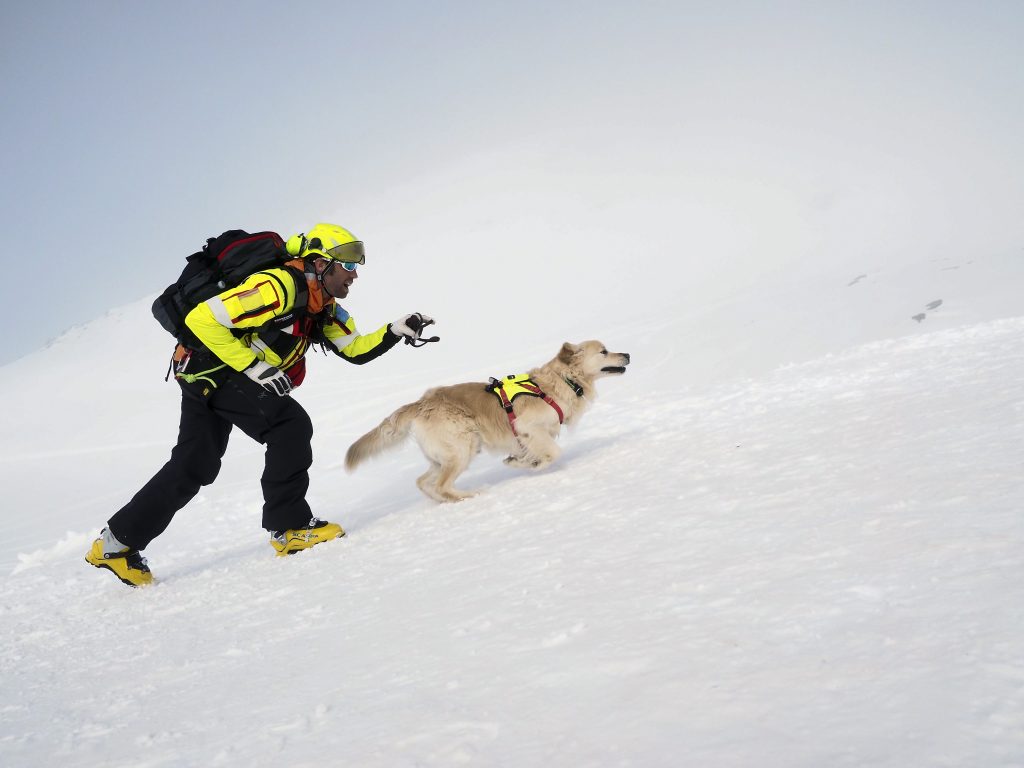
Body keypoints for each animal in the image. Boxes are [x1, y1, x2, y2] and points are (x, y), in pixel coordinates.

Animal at [348, 339, 626, 501]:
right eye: (604, 352)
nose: (628, 355)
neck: (562, 381)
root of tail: (422, 402)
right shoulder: (527, 427)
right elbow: (554, 452)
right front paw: (531, 466)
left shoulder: (529, 437)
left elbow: (533, 453)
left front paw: (520, 461)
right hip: (463, 447)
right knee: (441, 485)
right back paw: (469, 495)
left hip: (444, 455)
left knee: (424, 483)